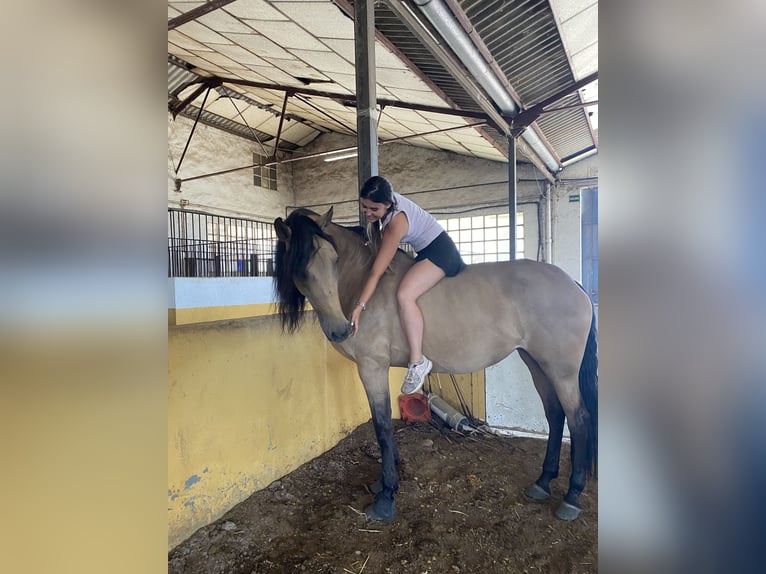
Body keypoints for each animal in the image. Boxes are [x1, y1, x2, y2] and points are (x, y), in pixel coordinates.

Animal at [276, 209, 600, 524]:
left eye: (334, 259)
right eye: (301, 269)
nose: (341, 330)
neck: (365, 285)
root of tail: (573, 284)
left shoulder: (372, 368)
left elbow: (382, 426)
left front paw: (386, 497)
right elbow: (384, 424)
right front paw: (386, 481)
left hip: (561, 372)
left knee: (579, 419)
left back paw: (571, 497)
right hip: (536, 364)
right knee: (555, 415)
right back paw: (542, 482)